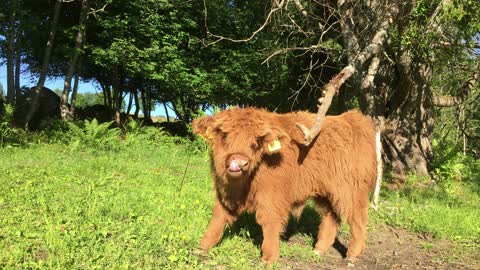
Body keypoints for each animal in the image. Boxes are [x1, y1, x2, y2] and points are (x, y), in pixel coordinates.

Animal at [192, 107, 378, 264]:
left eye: (256, 142)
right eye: (224, 135)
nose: (239, 162)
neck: (241, 185)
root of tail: (353, 118)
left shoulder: (273, 197)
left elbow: (269, 222)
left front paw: (269, 258)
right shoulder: (225, 194)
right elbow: (218, 218)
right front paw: (202, 248)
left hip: (352, 191)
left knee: (357, 219)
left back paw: (352, 256)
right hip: (325, 193)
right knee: (331, 217)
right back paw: (319, 250)